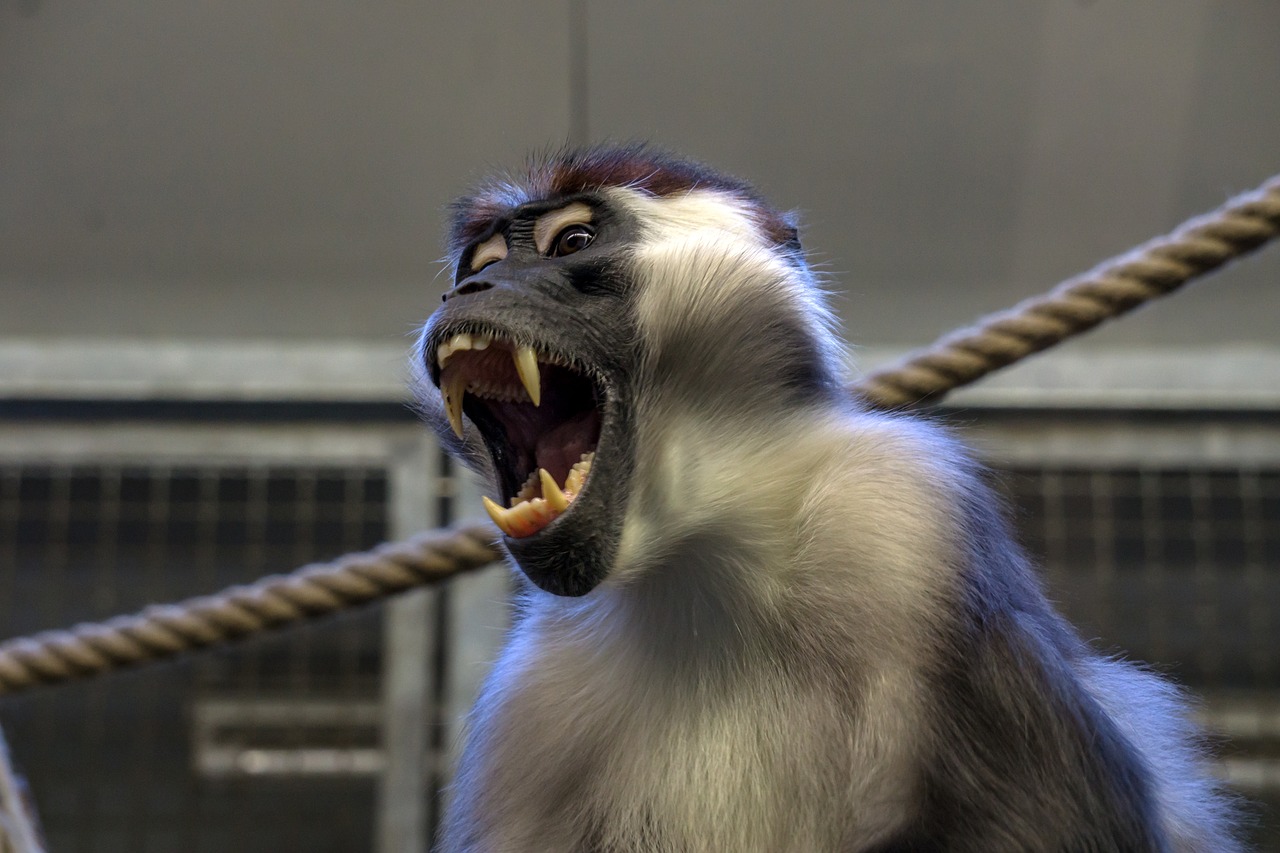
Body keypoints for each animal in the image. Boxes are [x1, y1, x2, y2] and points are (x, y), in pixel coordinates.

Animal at [413, 145, 1240, 852]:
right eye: (482, 265)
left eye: (572, 241)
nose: (467, 291)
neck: (702, 562)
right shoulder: (532, 703)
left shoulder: (902, 512)